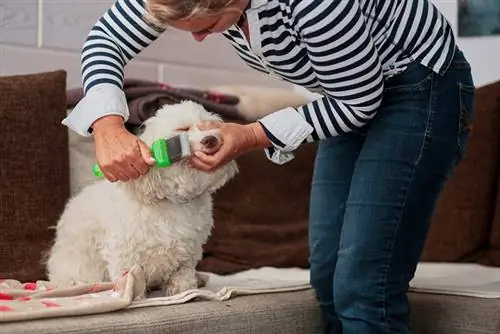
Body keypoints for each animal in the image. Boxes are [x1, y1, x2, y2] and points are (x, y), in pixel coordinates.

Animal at [45, 100, 238, 296]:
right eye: (183, 128)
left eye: (209, 126)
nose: (211, 140)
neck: (172, 199)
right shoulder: (124, 251)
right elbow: (128, 276)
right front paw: (131, 295)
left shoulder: (188, 251)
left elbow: (182, 274)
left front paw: (184, 290)